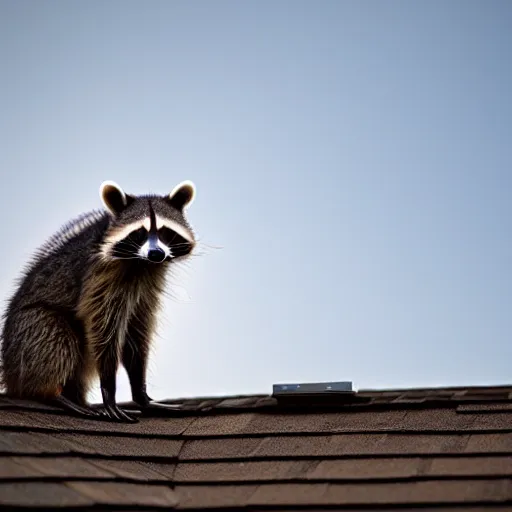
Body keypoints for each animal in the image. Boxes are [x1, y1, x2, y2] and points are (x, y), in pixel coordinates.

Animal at [0, 181, 196, 424]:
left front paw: (141, 394)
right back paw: (50, 393)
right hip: (26, 332)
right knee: (55, 338)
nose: (156, 253)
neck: (141, 263)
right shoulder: (101, 276)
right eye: (140, 232)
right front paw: (109, 392)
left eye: (164, 231)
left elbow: (136, 330)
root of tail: (10, 376)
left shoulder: (149, 281)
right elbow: (105, 331)